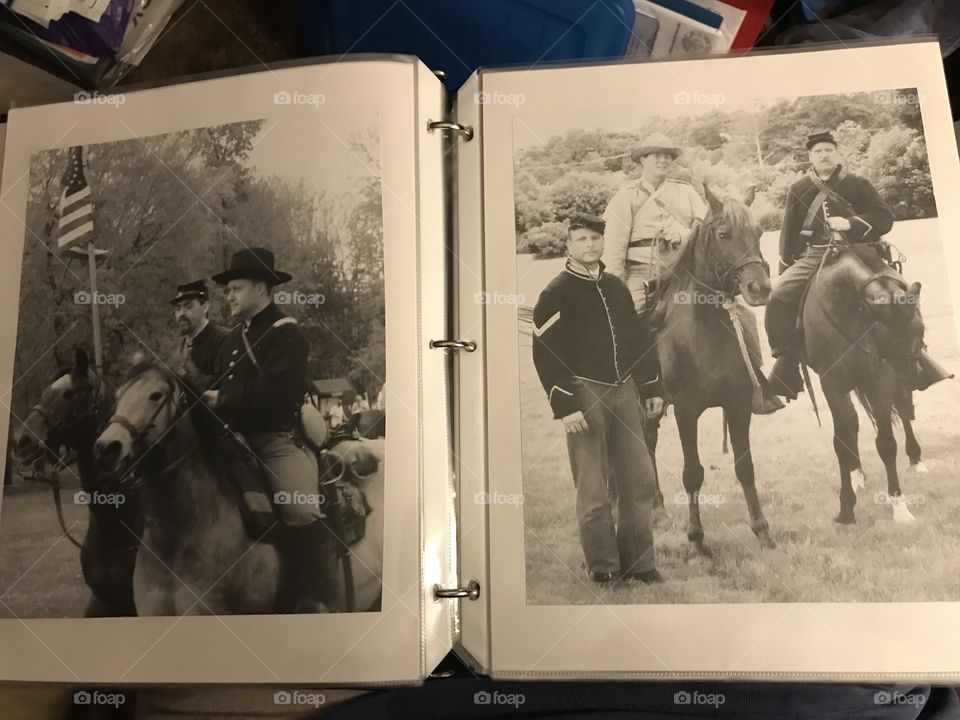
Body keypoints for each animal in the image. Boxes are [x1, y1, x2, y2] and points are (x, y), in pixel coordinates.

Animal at [648, 184, 776, 552]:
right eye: (723, 234)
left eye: (759, 232)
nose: (760, 288)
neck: (701, 332)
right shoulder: (685, 411)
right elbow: (692, 472)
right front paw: (695, 539)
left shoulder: (738, 405)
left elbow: (745, 467)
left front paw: (761, 529)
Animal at [804, 242, 928, 524]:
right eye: (890, 338)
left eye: (921, 330)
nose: (913, 377)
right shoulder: (832, 384)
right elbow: (842, 440)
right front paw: (846, 507)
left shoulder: (881, 379)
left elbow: (886, 443)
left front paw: (899, 507)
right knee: (852, 426)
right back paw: (857, 474)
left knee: (902, 412)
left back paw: (915, 458)